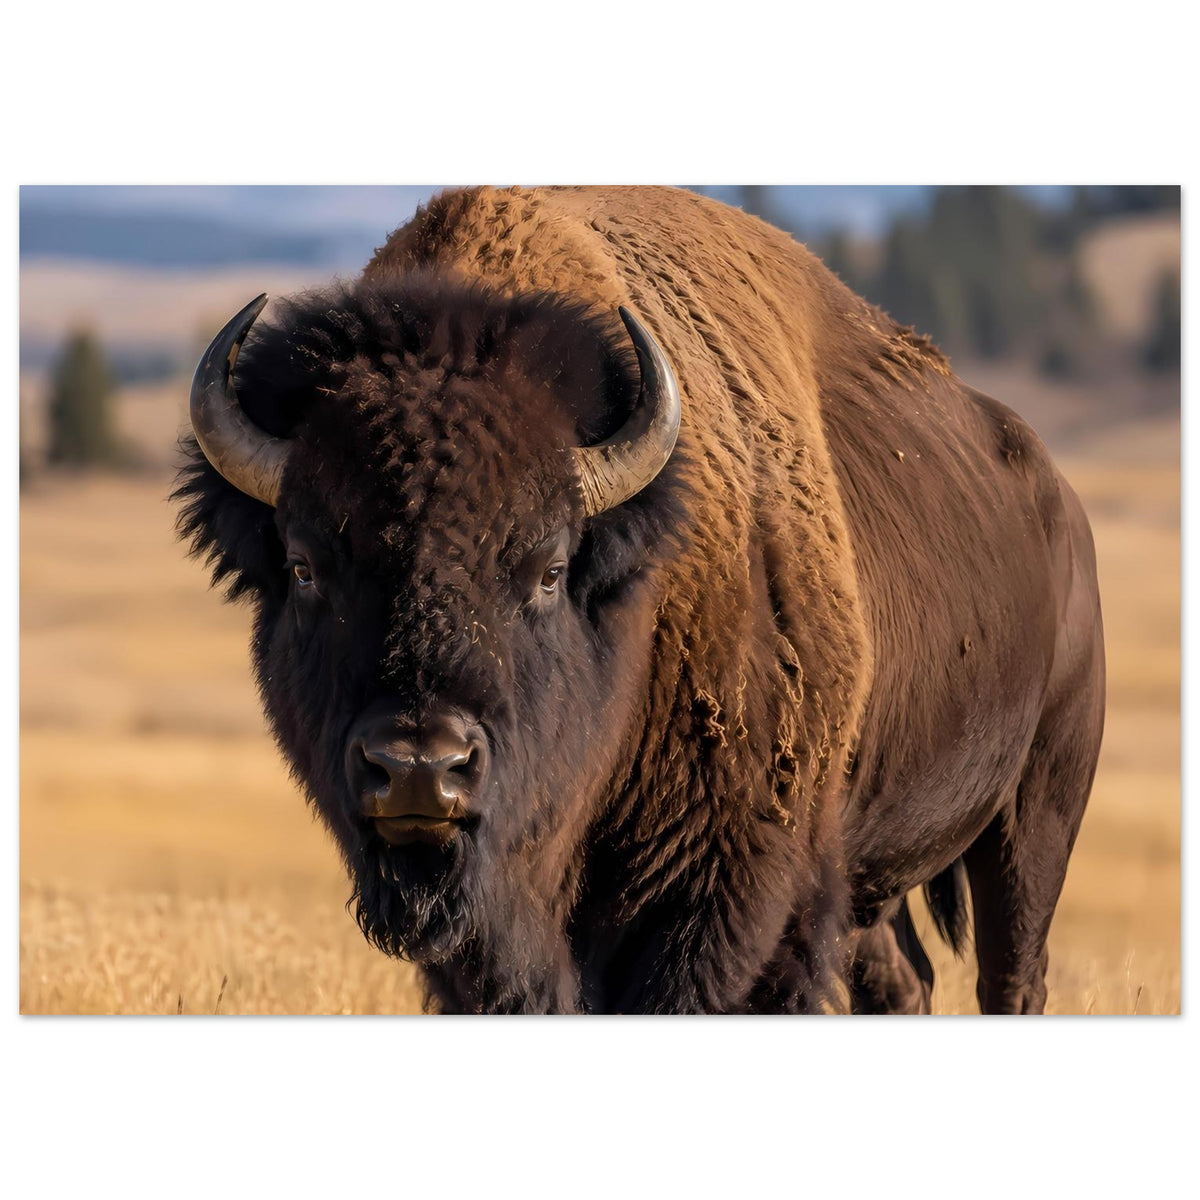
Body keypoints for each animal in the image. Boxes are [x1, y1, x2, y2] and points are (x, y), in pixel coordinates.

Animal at [175, 186, 1105, 1013]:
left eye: (548, 568)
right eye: (304, 567)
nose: (418, 768)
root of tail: (1059, 502)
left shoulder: (727, 895)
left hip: (1036, 809)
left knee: (1012, 973)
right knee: (902, 979)